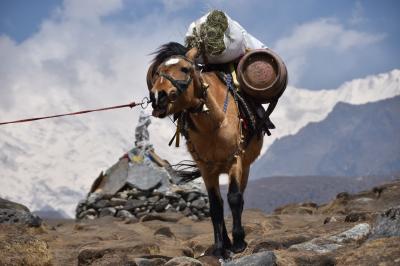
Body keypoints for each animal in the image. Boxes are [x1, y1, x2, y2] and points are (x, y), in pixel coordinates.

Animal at [147, 43, 262, 258]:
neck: (215, 123)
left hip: (246, 166)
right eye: (158, 72)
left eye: (185, 69)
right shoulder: (206, 169)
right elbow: (215, 206)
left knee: (239, 196)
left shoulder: (235, 161)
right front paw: (220, 247)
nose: (158, 96)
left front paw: (239, 242)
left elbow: (234, 198)